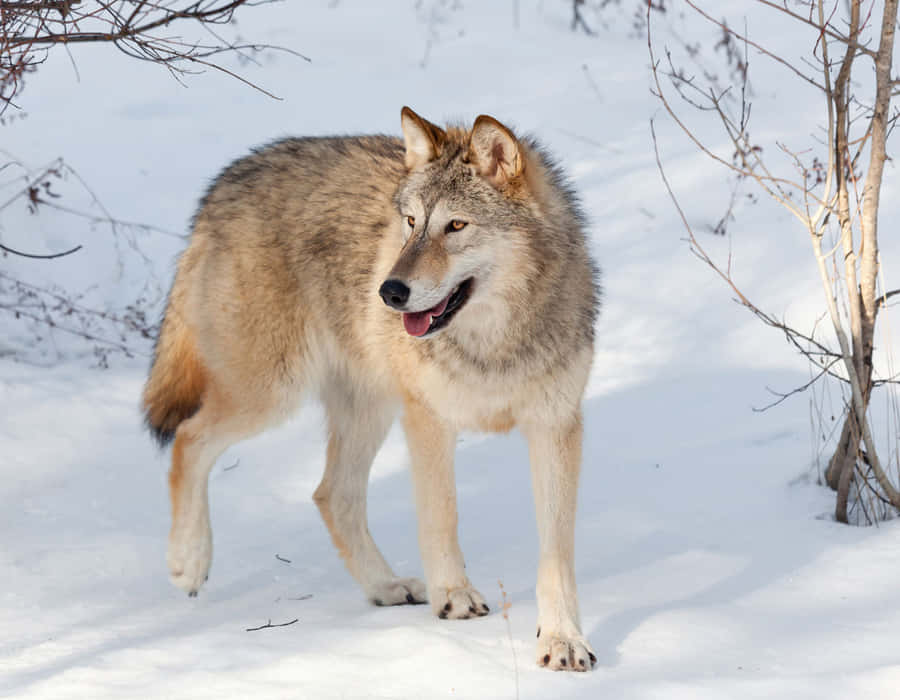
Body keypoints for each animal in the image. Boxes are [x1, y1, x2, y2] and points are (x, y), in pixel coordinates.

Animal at [142, 107, 600, 671]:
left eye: (455, 225)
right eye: (411, 224)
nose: (389, 291)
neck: (493, 344)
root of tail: (224, 182)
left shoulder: (556, 427)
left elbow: (556, 552)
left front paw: (563, 641)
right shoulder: (428, 419)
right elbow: (442, 517)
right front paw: (455, 598)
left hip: (365, 408)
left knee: (329, 493)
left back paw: (385, 587)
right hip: (271, 393)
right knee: (189, 439)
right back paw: (188, 562)